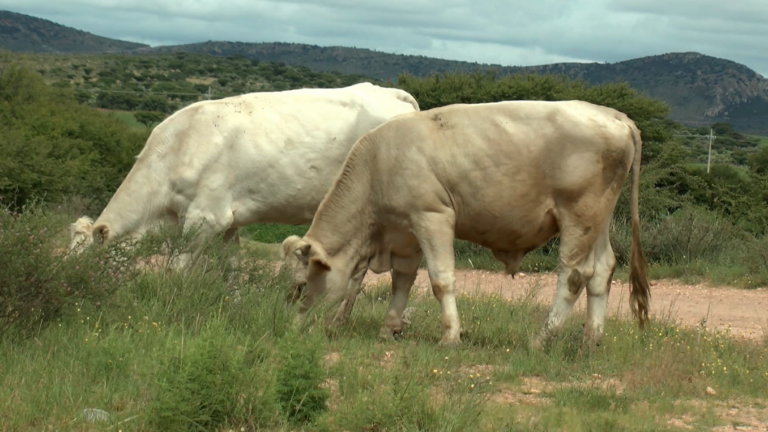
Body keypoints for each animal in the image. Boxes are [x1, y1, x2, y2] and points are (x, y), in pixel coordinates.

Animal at [69, 81, 420, 274]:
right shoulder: (229, 221)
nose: (69, 285)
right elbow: (231, 267)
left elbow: (176, 267)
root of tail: (391, 93)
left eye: (86, 263)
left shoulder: (204, 216)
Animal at [280, 98, 652, 348]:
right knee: (602, 271)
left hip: (578, 214)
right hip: (599, 218)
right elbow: (402, 281)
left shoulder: (432, 216)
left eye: (301, 285)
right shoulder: (406, 232)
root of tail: (613, 114)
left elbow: (440, 279)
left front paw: (450, 336)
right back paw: (591, 339)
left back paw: (541, 338)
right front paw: (389, 328)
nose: (293, 329)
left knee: (574, 275)